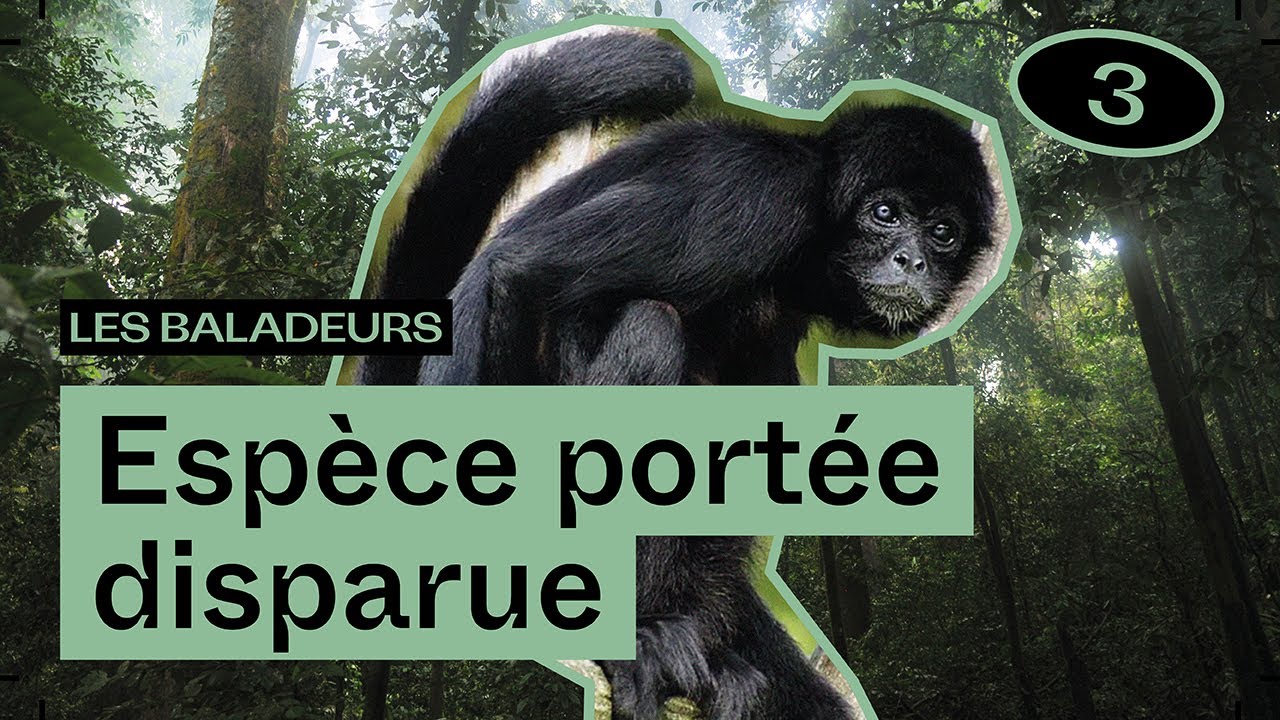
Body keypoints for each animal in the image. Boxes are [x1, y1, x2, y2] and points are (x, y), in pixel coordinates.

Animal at [357, 30, 995, 720]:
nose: (913, 260)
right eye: (885, 214)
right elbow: (517, 270)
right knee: (648, 330)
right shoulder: (759, 197)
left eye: (943, 233)